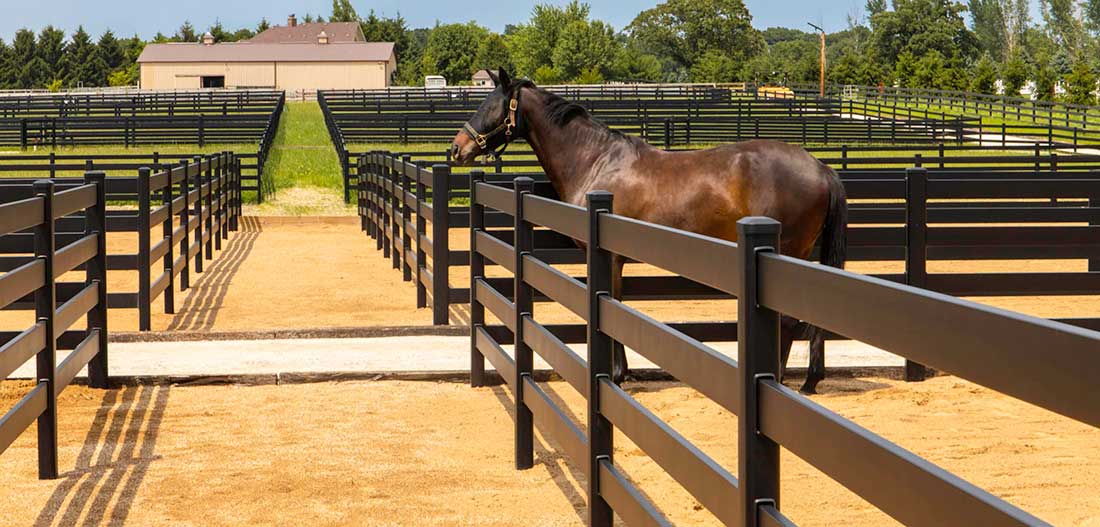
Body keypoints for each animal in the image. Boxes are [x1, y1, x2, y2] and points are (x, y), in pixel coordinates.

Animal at [451, 69, 847, 394]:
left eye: (491, 106)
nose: (457, 148)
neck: (596, 160)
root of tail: (821, 168)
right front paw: (624, 371)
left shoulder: (607, 256)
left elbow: (611, 305)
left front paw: (616, 374)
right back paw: (810, 379)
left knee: (789, 321)